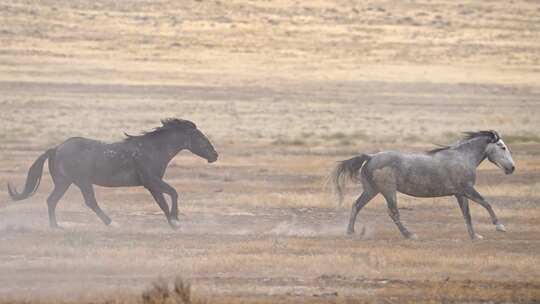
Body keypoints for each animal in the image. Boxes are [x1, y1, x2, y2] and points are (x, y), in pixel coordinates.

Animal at [6, 117, 217, 229]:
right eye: (200, 137)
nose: (215, 155)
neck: (152, 150)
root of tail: (56, 148)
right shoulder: (151, 181)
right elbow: (171, 195)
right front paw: (175, 221)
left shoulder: (152, 184)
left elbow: (165, 200)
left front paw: (174, 222)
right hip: (82, 181)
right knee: (90, 202)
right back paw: (112, 223)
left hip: (64, 182)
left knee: (51, 200)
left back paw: (56, 226)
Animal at [332, 131, 516, 240]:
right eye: (502, 147)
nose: (512, 168)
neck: (463, 157)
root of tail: (370, 157)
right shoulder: (467, 189)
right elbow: (486, 203)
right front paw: (500, 226)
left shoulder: (460, 194)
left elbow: (467, 214)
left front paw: (474, 236)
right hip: (388, 191)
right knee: (393, 212)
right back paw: (410, 234)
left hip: (372, 190)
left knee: (356, 205)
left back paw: (350, 232)